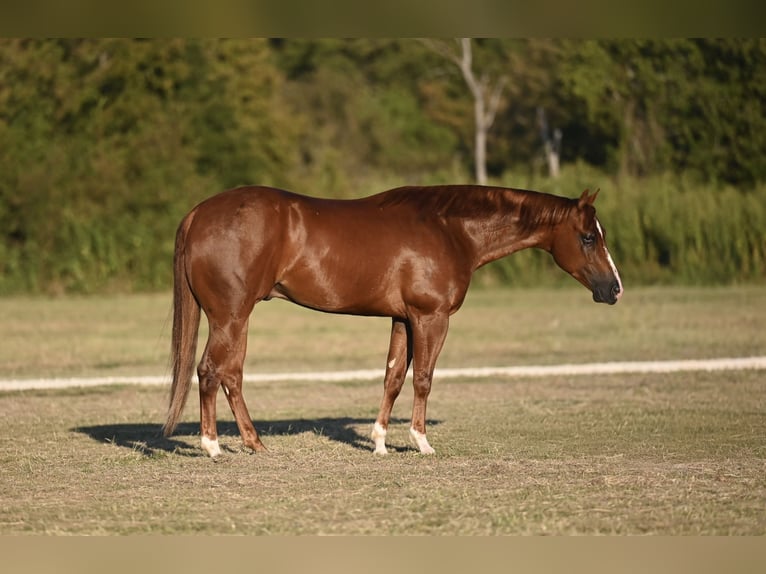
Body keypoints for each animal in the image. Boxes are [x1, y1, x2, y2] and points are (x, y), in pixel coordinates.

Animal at [162, 184, 623, 457]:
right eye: (588, 237)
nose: (614, 289)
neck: (449, 230)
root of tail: (198, 213)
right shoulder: (431, 318)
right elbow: (423, 379)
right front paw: (421, 441)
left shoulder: (403, 319)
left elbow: (393, 377)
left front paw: (380, 442)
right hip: (231, 316)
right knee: (210, 371)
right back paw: (213, 446)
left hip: (236, 319)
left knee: (230, 375)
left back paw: (253, 443)